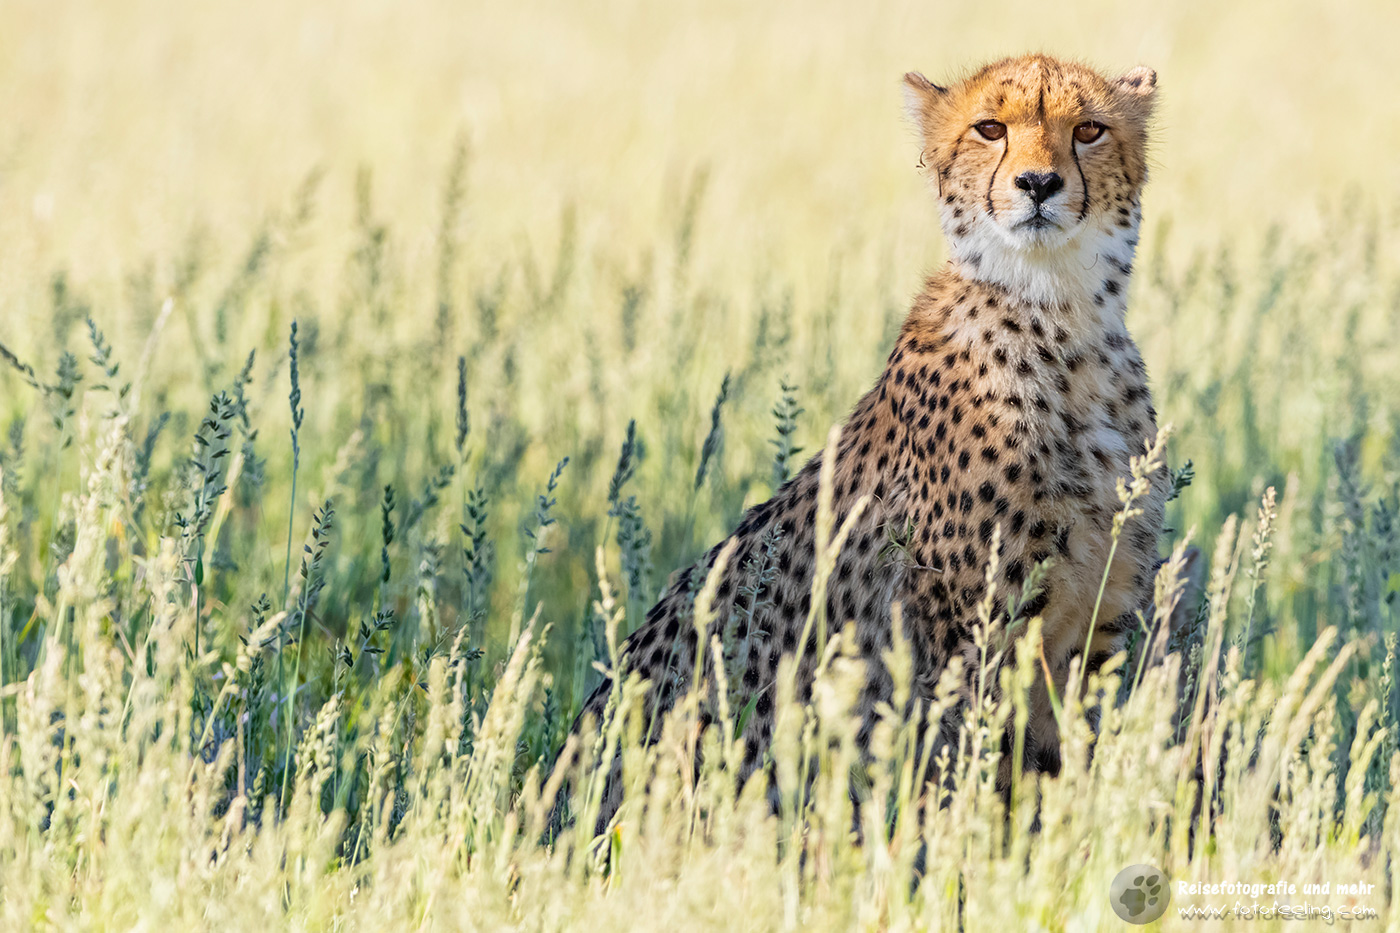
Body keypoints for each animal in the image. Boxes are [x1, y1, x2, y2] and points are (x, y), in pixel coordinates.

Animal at [559, 53, 1170, 831]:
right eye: (990, 128)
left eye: (1089, 130)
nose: (1038, 185)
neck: (1063, 322)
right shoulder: (968, 640)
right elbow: (972, 779)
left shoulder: (1095, 628)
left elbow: (1068, 773)